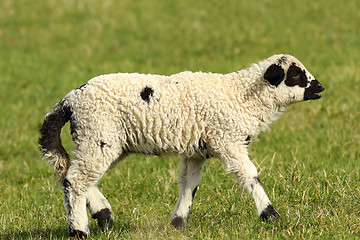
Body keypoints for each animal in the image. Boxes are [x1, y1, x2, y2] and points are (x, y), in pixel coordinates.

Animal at [38, 53, 324, 237]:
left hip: (107, 142)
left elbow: (189, 184)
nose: (320, 87)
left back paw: (103, 216)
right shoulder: (227, 140)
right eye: (295, 75)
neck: (241, 97)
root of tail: (70, 100)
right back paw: (79, 230)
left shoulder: (197, 149)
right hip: (97, 134)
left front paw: (177, 224)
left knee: (72, 175)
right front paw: (270, 215)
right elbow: (250, 176)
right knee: (75, 180)